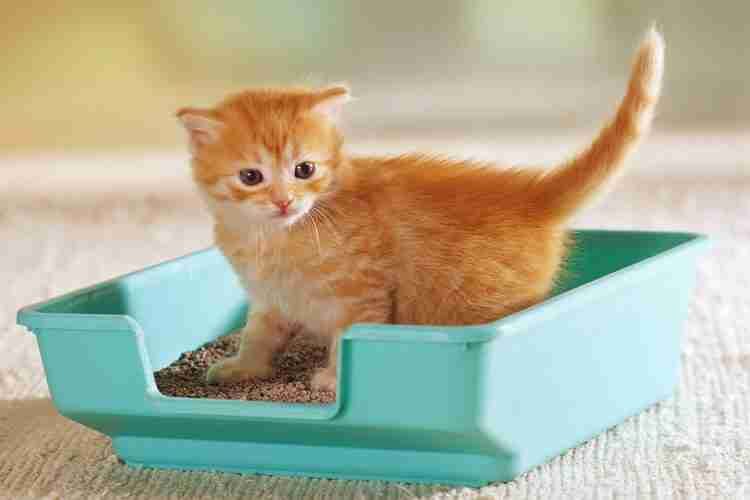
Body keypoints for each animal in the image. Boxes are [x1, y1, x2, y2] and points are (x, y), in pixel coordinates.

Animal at [179, 29, 668, 392]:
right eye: (251, 177)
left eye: (304, 169)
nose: (284, 201)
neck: (276, 237)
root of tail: (533, 193)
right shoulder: (269, 298)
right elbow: (258, 335)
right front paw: (242, 368)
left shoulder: (363, 295)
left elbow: (346, 340)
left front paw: (334, 380)